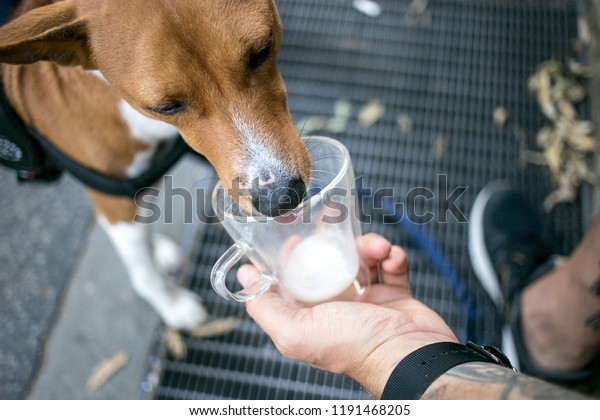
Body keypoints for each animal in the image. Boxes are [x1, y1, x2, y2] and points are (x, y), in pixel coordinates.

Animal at [0, 0, 310, 328]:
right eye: (165, 107)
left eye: (262, 50)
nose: (279, 197)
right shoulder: (113, 202)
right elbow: (144, 273)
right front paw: (172, 305)